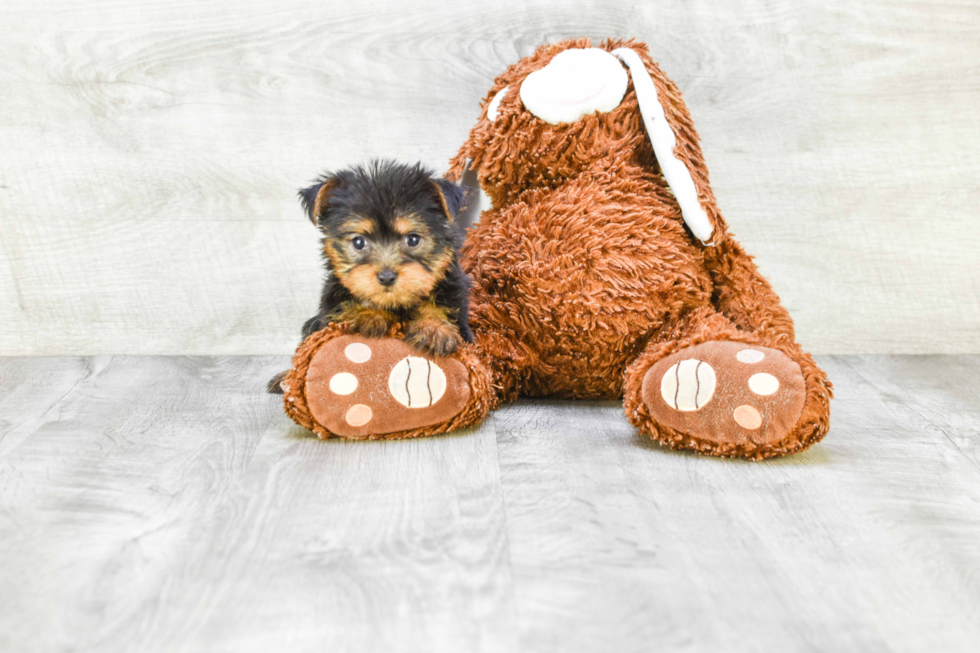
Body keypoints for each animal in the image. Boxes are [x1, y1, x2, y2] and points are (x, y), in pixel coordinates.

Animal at [268, 158, 470, 392]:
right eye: (358, 242)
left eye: (412, 239)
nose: (387, 277)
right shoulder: (330, 308)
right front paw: (369, 315)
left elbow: (444, 306)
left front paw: (434, 328)